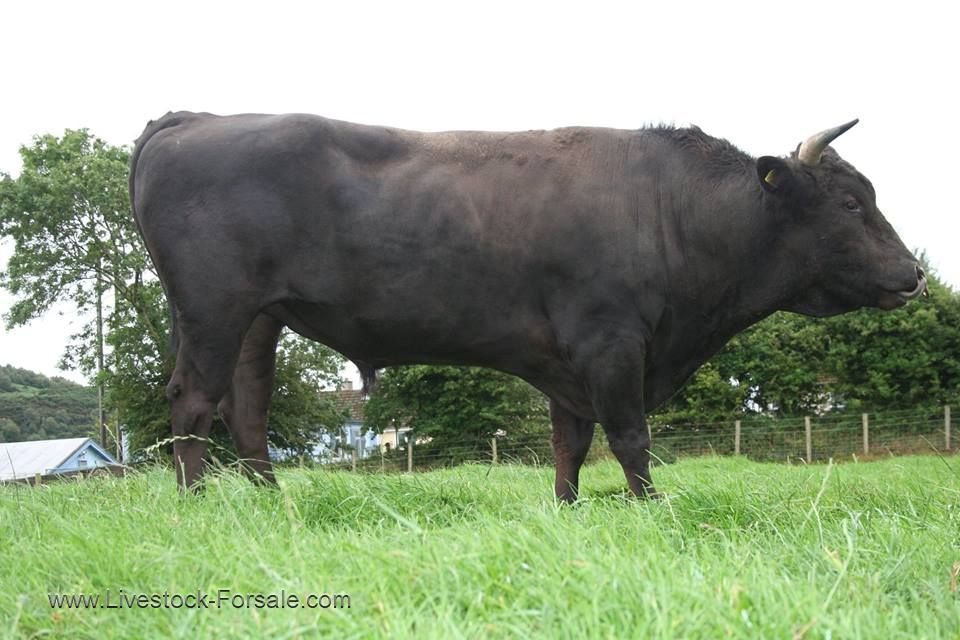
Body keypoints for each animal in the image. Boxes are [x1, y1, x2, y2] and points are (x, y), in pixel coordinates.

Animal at [129, 112, 926, 501]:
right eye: (850, 202)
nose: (915, 274)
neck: (671, 210)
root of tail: (193, 118)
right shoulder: (611, 343)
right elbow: (630, 436)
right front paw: (651, 506)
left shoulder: (568, 362)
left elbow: (570, 441)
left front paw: (568, 507)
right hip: (213, 308)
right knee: (193, 400)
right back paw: (196, 502)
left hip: (259, 317)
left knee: (247, 407)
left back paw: (272, 499)